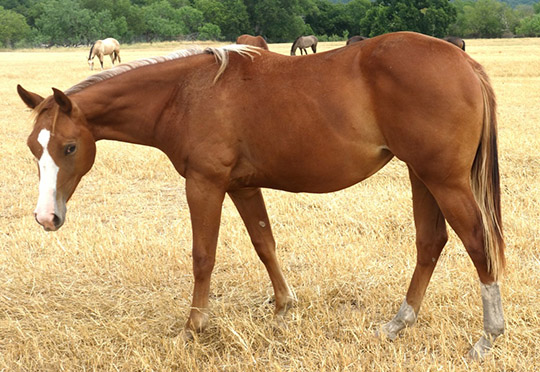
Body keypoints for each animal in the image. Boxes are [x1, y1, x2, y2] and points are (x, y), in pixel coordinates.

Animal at [17, 32, 506, 360]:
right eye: (32, 147)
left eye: (69, 147)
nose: (46, 217)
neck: (185, 94)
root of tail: (463, 61)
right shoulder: (243, 186)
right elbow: (264, 243)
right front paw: (284, 307)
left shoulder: (205, 184)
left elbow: (203, 256)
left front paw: (192, 327)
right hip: (421, 176)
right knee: (430, 243)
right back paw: (398, 324)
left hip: (444, 180)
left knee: (477, 243)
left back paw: (488, 336)